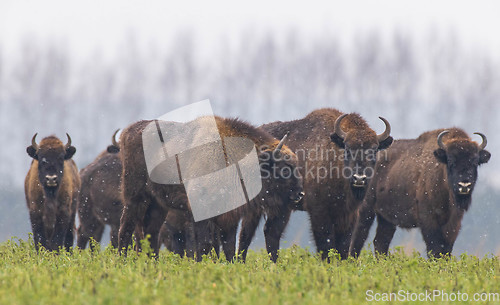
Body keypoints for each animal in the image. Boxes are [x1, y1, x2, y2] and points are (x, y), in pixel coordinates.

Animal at [118, 115, 302, 258]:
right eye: (284, 168)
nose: (300, 194)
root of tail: (128, 132)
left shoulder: (230, 218)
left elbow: (228, 247)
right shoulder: (202, 215)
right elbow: (204, 246)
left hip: (158, 204)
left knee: (151, 234)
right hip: (135, 197)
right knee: (126, 228)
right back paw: (122, 261)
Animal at [258, 108, 394, 258]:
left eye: (374, 150)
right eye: (347, 148)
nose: (359, 178)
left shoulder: (349, 215)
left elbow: (343, 246)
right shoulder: (319, 211)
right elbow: (326, 244)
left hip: (283, 208)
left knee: (272, 231)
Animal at [350, 127, 490, 256]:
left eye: (475, 162)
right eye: (450, 161)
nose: (464, 185)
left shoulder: (454, 223)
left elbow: (446, 250)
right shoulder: (428, 220)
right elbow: (435, 248)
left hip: (387, 218)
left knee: (380, 241)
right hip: (366, 210)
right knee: (358, 237)